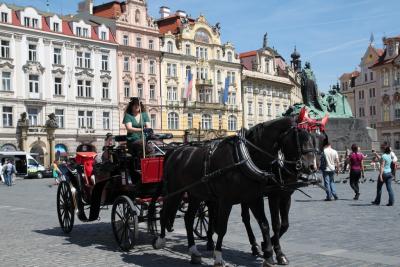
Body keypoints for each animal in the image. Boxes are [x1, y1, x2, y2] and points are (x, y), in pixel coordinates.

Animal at [153, 116, 318, 266]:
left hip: (196, 194)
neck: (246, 157)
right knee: (164, 212)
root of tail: (175, 150)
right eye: (300, 138)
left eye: (314, 139)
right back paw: (160, 240)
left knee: (189, 218)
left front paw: (269, 254)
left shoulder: (258, 197)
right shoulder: (230, 200)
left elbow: (267, 224)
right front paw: (219, 257)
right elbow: (223, 227)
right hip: (175, 191)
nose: (312, 166)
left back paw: (195, 252)